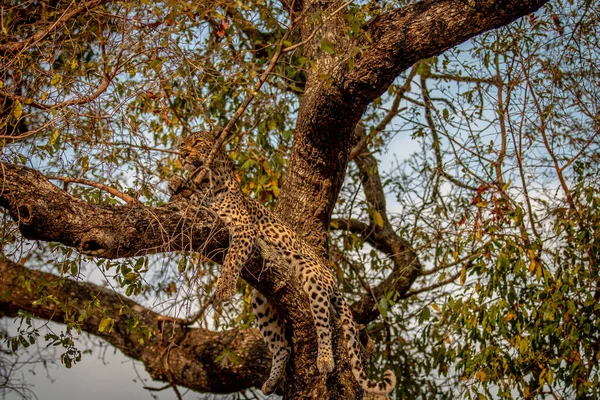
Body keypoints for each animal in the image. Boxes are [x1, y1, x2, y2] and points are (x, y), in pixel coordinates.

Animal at [172, 132, 398, 396]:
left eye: (196, 143)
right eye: (182, 144)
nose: (182, 154)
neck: (210, 181)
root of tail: (330, 275)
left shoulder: (243, 228)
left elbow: (232, 257)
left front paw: (225, 287)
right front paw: (176, 183)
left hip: (312, 276)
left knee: (324, 325)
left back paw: (324, 359)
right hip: (261, 301)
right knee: (283, 347)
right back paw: (271, 381)